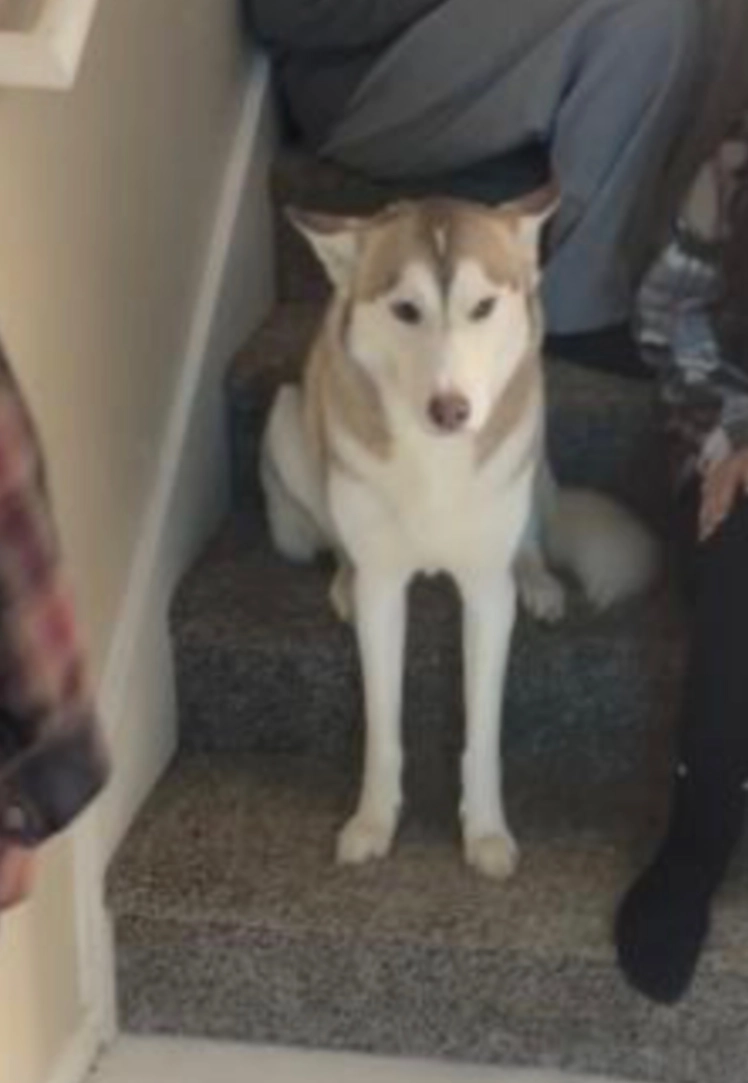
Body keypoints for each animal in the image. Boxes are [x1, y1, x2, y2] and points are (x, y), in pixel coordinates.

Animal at [260, 188, 658, 880]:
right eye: (405, 309)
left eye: (482, 307)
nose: (451, 410)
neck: (434, 464)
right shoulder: (385, 592)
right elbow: (382, 725)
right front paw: (373, 821)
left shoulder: (485, 596)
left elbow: (484, 730)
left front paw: (487, 831)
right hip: (287, 422)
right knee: (333, 536)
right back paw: (341, 580)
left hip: (535, 447)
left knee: (530, 538)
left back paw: (538, 581)